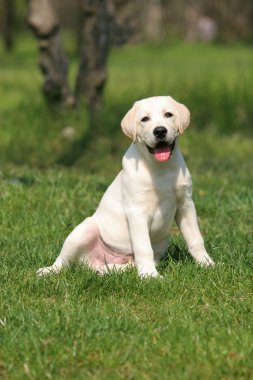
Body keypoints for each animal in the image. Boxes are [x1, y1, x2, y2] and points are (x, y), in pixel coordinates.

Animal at [37, 96, 214, 278]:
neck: (160, 168)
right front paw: (150, 276)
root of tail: (89, 262)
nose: (159, 131)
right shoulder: (137, 212)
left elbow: (195, 239)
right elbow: (143, 247)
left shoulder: (185, 205)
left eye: (168, 114)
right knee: (63, 260)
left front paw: (207, 264)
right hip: (84, 230)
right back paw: (48, 270)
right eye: (145, 119)